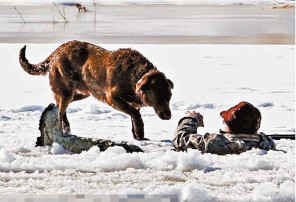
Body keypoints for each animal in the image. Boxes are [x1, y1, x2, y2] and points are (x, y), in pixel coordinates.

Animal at [19, 40, 173, 140]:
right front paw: (140, 134)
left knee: (59, 104)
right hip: (67, 91)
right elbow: (135, 114)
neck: (134, 75)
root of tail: (56, 51)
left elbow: (134, 116)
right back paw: (62, 130)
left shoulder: (133, 102)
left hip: (83, 92)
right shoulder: (112, 98)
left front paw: (136, 135)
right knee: (60, 110)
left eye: (169, 96)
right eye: (157, 95)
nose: (168, 116)